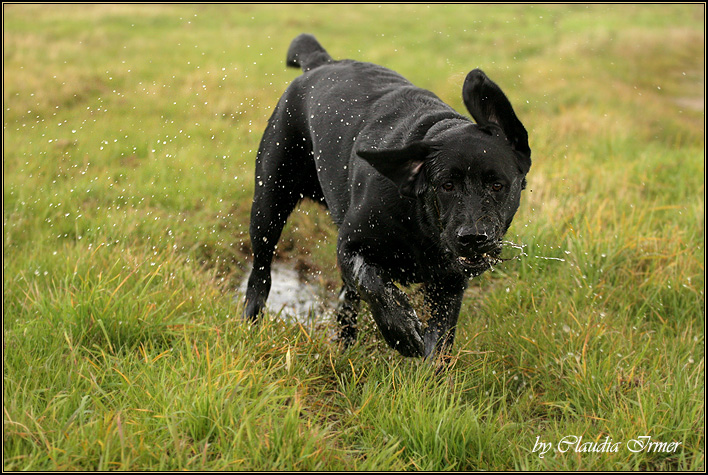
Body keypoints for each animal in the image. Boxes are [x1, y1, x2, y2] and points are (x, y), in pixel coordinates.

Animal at [245, 34, 532, 360]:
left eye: (497, 185)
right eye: (446, 185)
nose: (473, 237)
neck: (421, 224)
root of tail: (321, 61)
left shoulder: (449, 285)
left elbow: (439, 341)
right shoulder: (349, 246)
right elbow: (374, 283)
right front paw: (402, 331)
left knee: (346, 302)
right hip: (270, 200)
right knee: (261, 273)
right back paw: (252, 322)